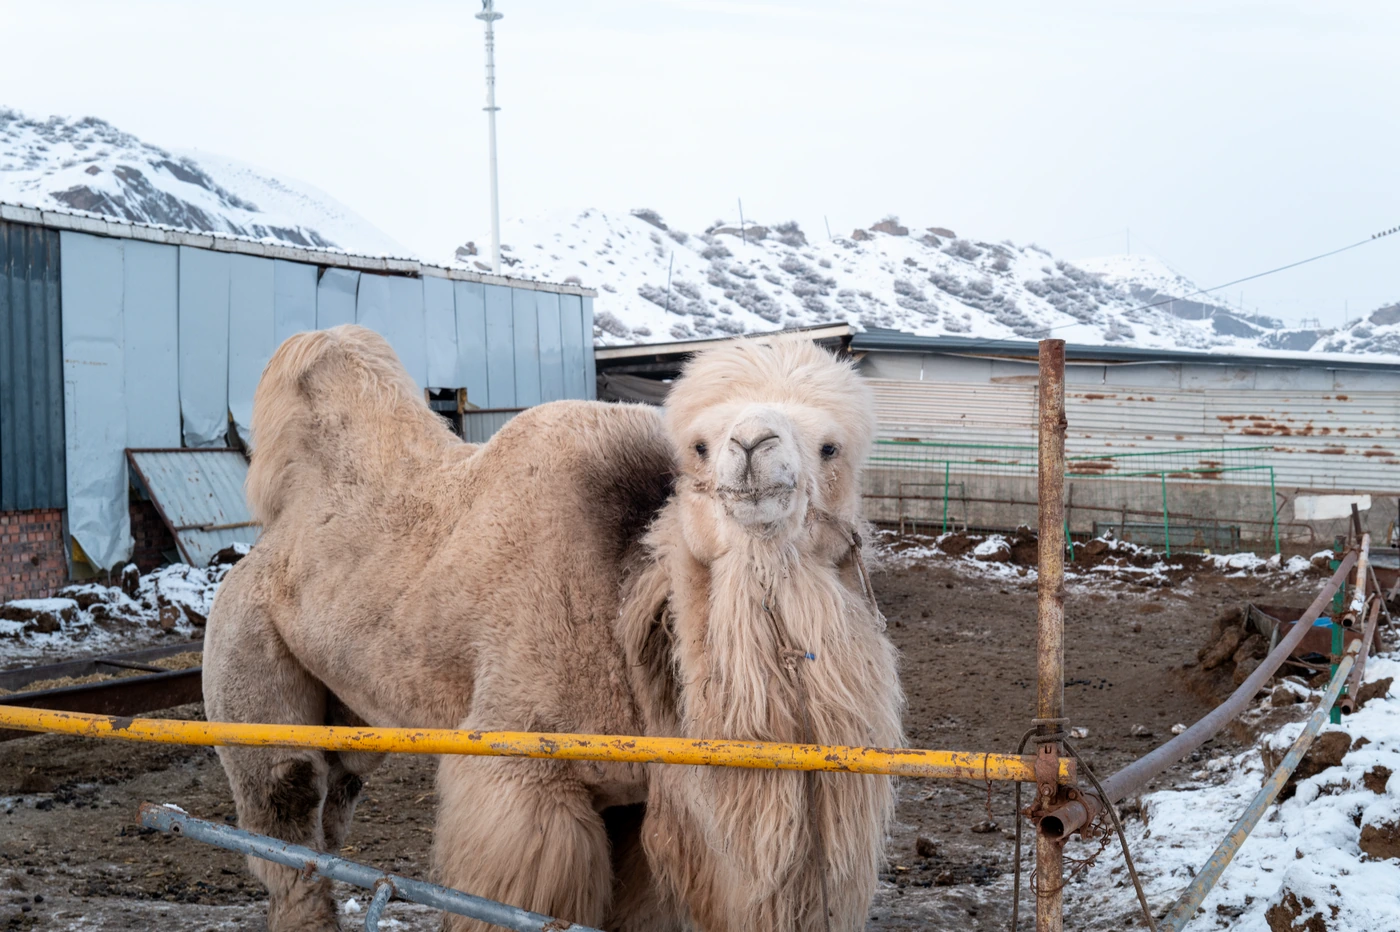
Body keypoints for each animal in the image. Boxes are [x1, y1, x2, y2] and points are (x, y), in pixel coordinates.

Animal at [202, 324, 902, 932]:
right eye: (700, 446)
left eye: (831, 448)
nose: (753, 446)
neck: (622, 602)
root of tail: (265, 546)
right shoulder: (521, 772)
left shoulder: (640, 800)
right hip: (245, 658)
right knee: (287, 814)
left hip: (347, 714)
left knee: (331, 812)